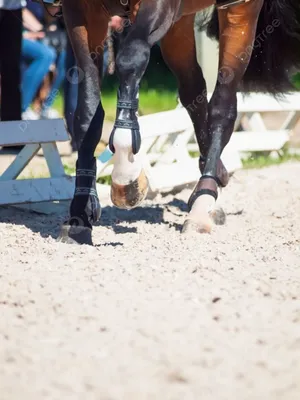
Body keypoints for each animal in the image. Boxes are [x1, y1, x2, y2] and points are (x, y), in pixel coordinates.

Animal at [38, 0, 298, 245]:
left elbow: (131, 58)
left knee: (222, 106)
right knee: (194, 90)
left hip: (241, 12)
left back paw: (204, 199)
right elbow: (88, 111)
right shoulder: (80, 12)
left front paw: (127, 174)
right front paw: (80, 215)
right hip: (179, 24)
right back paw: (216, 177)